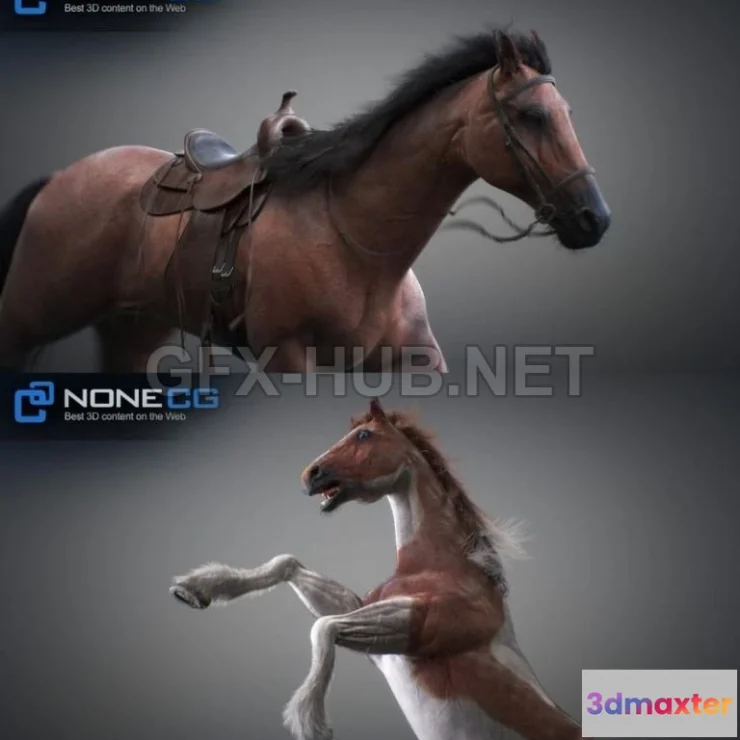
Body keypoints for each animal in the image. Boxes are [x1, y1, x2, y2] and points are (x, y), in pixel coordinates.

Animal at [0, 28, 610, 373]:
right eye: (531, 115)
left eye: (567, 114)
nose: (594, 218)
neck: (358, 245)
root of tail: (58, 179)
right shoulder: (288, 356)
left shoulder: (413, 358)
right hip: (26, 319)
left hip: (133, 330)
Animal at [170, 398, 585, 740]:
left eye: (363, 434)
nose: (310, 475)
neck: (441, 567)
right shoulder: (375, 636)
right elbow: (287, 565)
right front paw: (196, 588)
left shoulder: (420, 627)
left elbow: (322, 628)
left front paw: (310, 720)